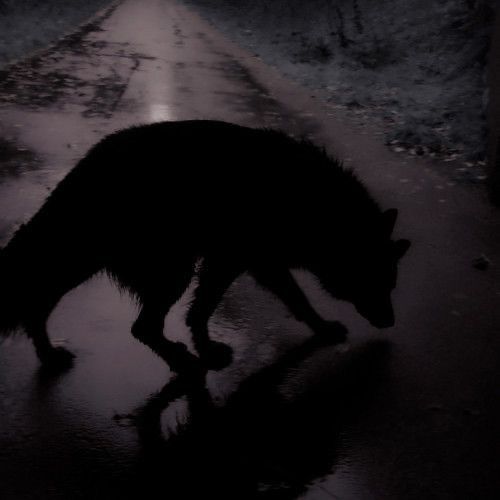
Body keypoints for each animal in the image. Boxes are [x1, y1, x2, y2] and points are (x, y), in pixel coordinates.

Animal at [0, 120, 408, 372]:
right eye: (376, 280)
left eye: (391, 284)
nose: (391, 322)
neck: (318, 206)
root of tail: (84, 170)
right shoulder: (248, 260)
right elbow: (295, 299)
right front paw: (322, 329)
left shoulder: (234, 261)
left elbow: (203, 310)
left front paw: (205, 344)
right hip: (167, 270)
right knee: (141, 328)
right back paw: (182, 362)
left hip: (84, 259)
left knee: (38, 305)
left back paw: (50, 356)